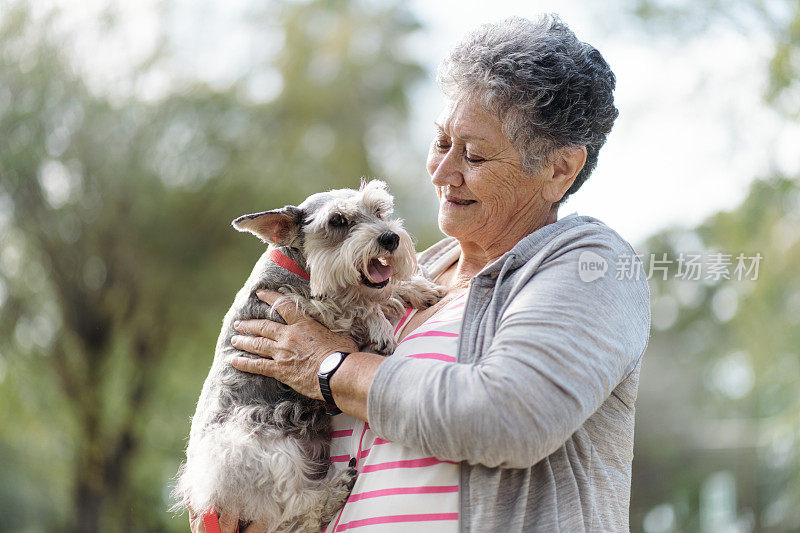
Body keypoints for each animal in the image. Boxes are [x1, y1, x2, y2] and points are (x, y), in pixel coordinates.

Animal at [173, 180, 444, 532]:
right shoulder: (312, 310)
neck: (300, 269)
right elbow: (360, 303)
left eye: (379, 210)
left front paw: (417, 287)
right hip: (262, 451)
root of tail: (209, 499)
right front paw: (381, 323)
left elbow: (383, 290)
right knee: (294, 508)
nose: (390, 238)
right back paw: (334, 489)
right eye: (338, 220)